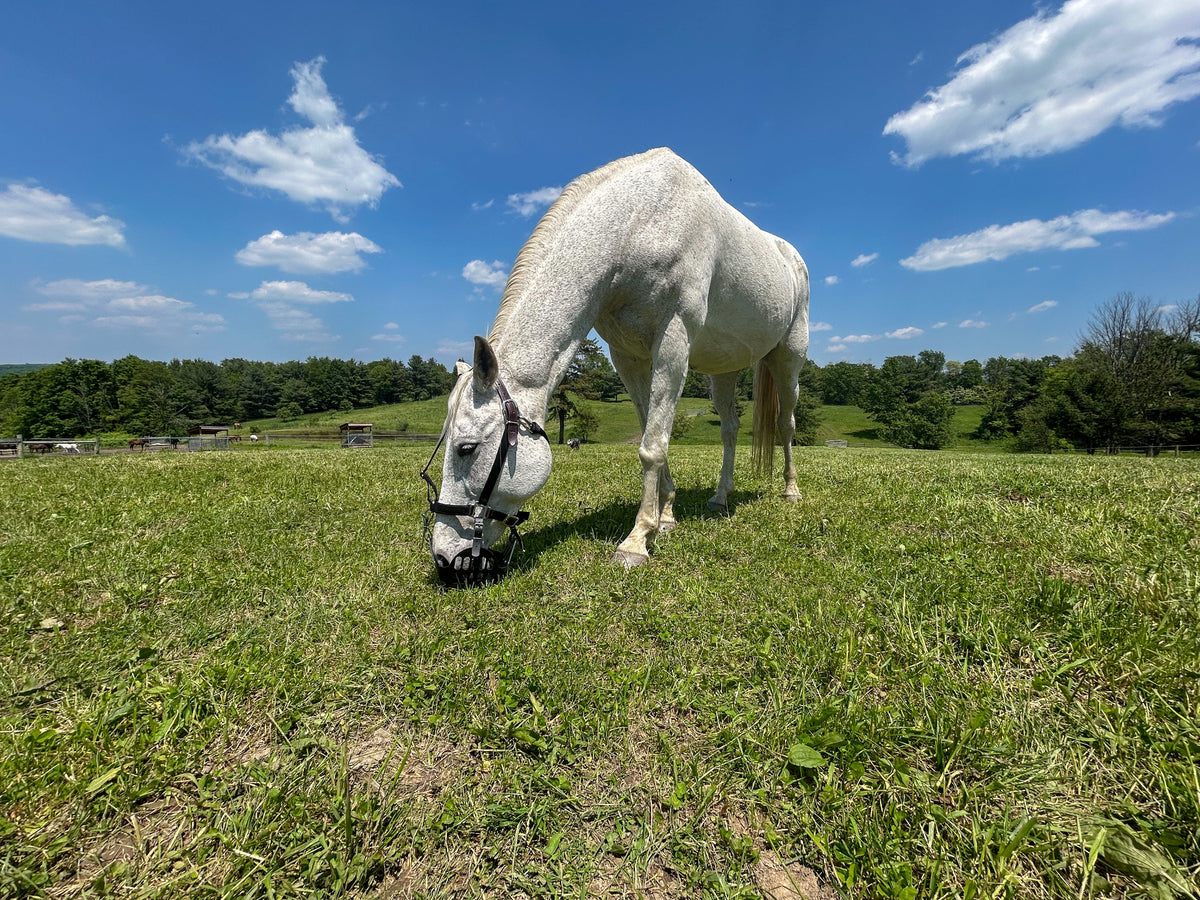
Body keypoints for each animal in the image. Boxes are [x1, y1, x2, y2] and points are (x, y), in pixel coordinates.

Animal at [423, 148, 809, 587]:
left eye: (466, 448)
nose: (444, 558)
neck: (641, 223)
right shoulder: (628, 356)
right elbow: (651, 431)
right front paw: (665, 516)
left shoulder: (673, 341)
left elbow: (652, 446)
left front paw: (637, 541)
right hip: (723, 370)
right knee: (729, 429)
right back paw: (720, 497)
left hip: (788, 359)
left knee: (786, 425)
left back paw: (791, 491)